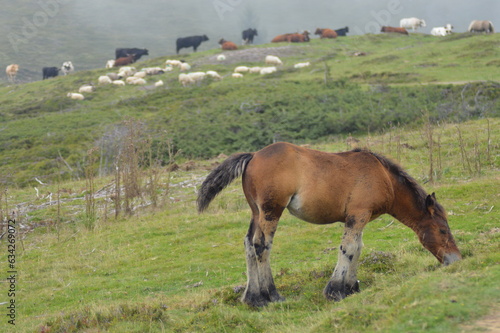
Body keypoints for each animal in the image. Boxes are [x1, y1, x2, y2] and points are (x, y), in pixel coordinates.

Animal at [197, 143, 462, 306]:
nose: (455, 259)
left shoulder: (359, 218)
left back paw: (253, 298)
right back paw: (271, 295)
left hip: (256, 212)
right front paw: (335, 290)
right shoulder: (358, 214)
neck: (383, 177)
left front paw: (352, 287)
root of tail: (253, 156)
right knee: (262, 246)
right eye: (442, 230)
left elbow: (358, 248)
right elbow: (349, 248)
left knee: (249, 245)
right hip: (272, 210)